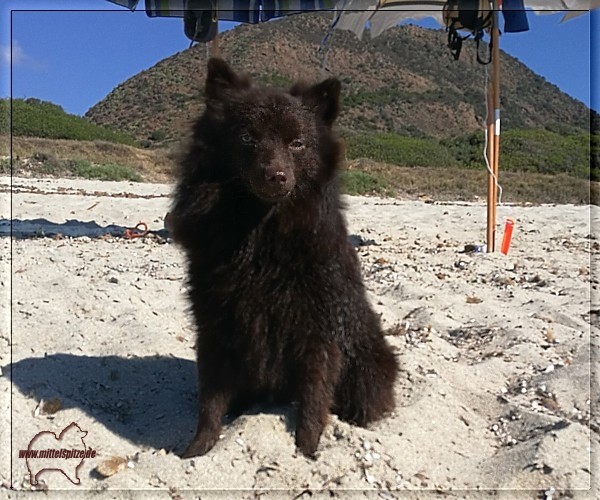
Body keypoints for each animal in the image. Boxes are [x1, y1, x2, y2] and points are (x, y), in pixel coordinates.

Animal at [170, 56, 398, 458]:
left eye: (297, 144)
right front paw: (198, 448)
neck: (261, 236)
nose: (276, 176)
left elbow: (313, 397)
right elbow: (209, 399)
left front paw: (307, 451)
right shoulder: (215, 324)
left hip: (366, 367)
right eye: (248, 138)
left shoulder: (317, 331)